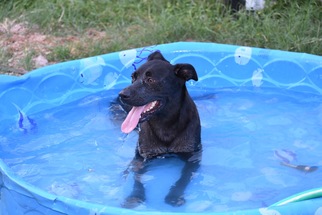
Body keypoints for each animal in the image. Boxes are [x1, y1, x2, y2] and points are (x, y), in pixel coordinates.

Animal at [118, 50, 201, 208]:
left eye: (150, 80)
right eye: (133, 77)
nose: (122, 94)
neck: (165, 124)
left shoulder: (192, 157)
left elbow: (183, 178)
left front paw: (174, 195)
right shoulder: (141, 158)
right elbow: (137, 179)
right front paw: (135, 196)